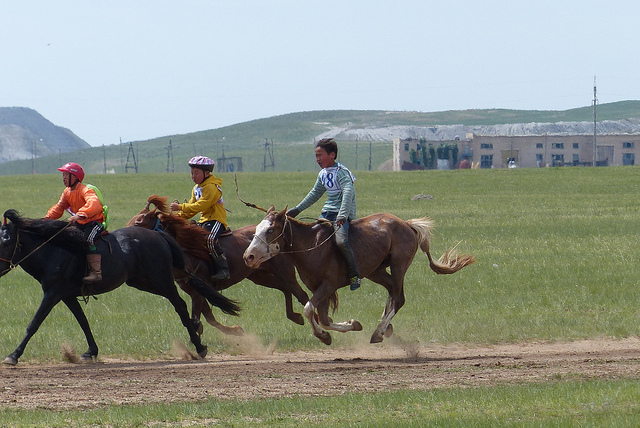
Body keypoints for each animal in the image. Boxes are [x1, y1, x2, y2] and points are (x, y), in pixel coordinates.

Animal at [0, 209, 240, 365]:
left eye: (6, 240)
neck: (54, 250)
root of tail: (158, 234)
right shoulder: (67, 296)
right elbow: (83, 322)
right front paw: (91, 351)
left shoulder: (52, 293)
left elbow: (34, 324)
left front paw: (13, 355)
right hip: (142, 282)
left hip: (162, 280)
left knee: (180, 305)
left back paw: (199, 347)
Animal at [127, 195, 309, 335]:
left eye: (138, 222)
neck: (187, 253)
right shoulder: (195, 291)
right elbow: (209, 318)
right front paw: (235, 330)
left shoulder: (199, 291)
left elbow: (198, 318)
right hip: (259, 276)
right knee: (285, 290)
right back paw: (296, 317)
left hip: (285, 273)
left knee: (300, 294)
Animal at [243, 206, 475, 345]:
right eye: (257, 229)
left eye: (271, 230)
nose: (249, 256)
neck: (311, 246)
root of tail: (407, 224)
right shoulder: (317, 288)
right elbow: (323, 318)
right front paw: (345, 328)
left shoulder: (328, 286)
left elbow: (310, 310)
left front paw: (325, 335)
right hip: (376, 271)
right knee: (392, 294)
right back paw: (385, 327)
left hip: (399, 265)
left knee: (399, 298)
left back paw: (379, 332)